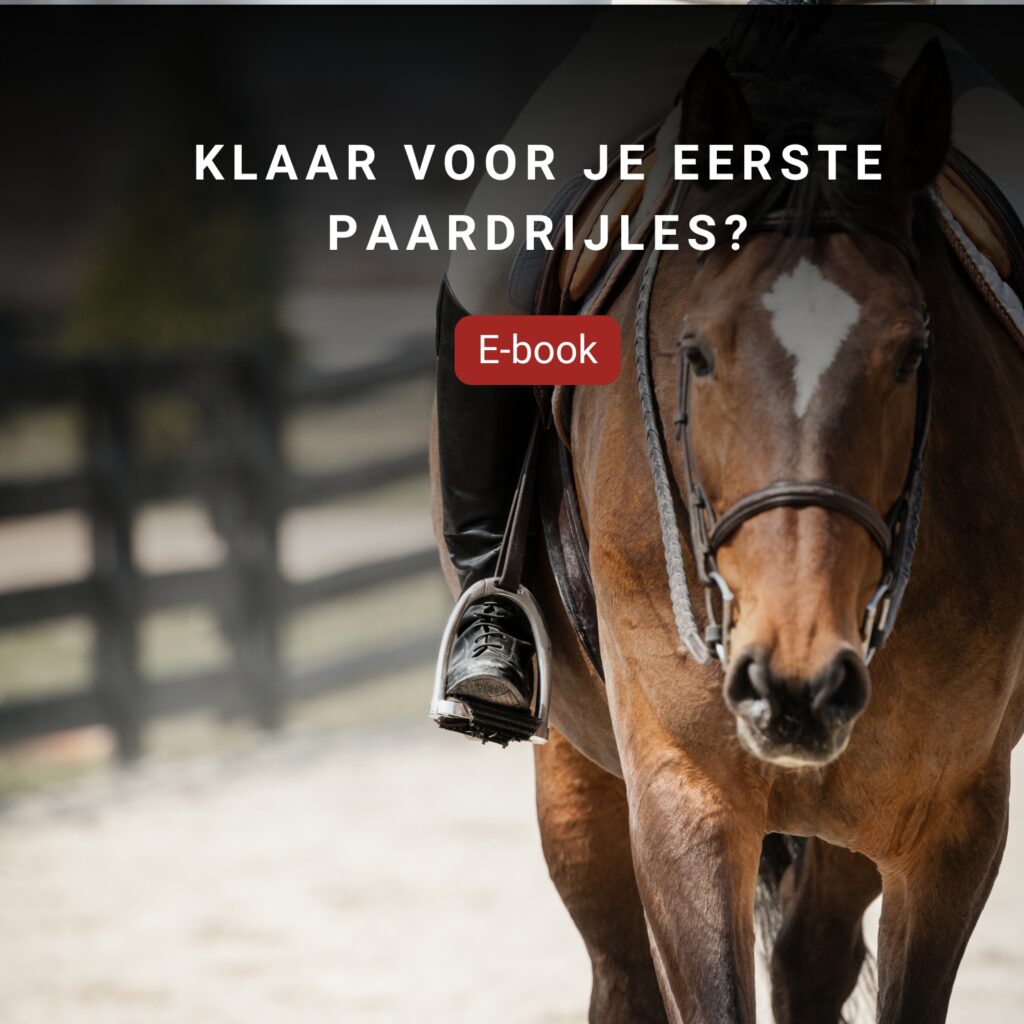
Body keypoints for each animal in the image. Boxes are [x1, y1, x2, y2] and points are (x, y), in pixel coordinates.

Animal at [431, 26, 1024, 1024]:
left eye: (913, 353)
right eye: (698, 353)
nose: (795, 681)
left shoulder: (954, 822)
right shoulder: (684, 794)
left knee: (809, 956)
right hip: (579, 767)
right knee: (624, 976)